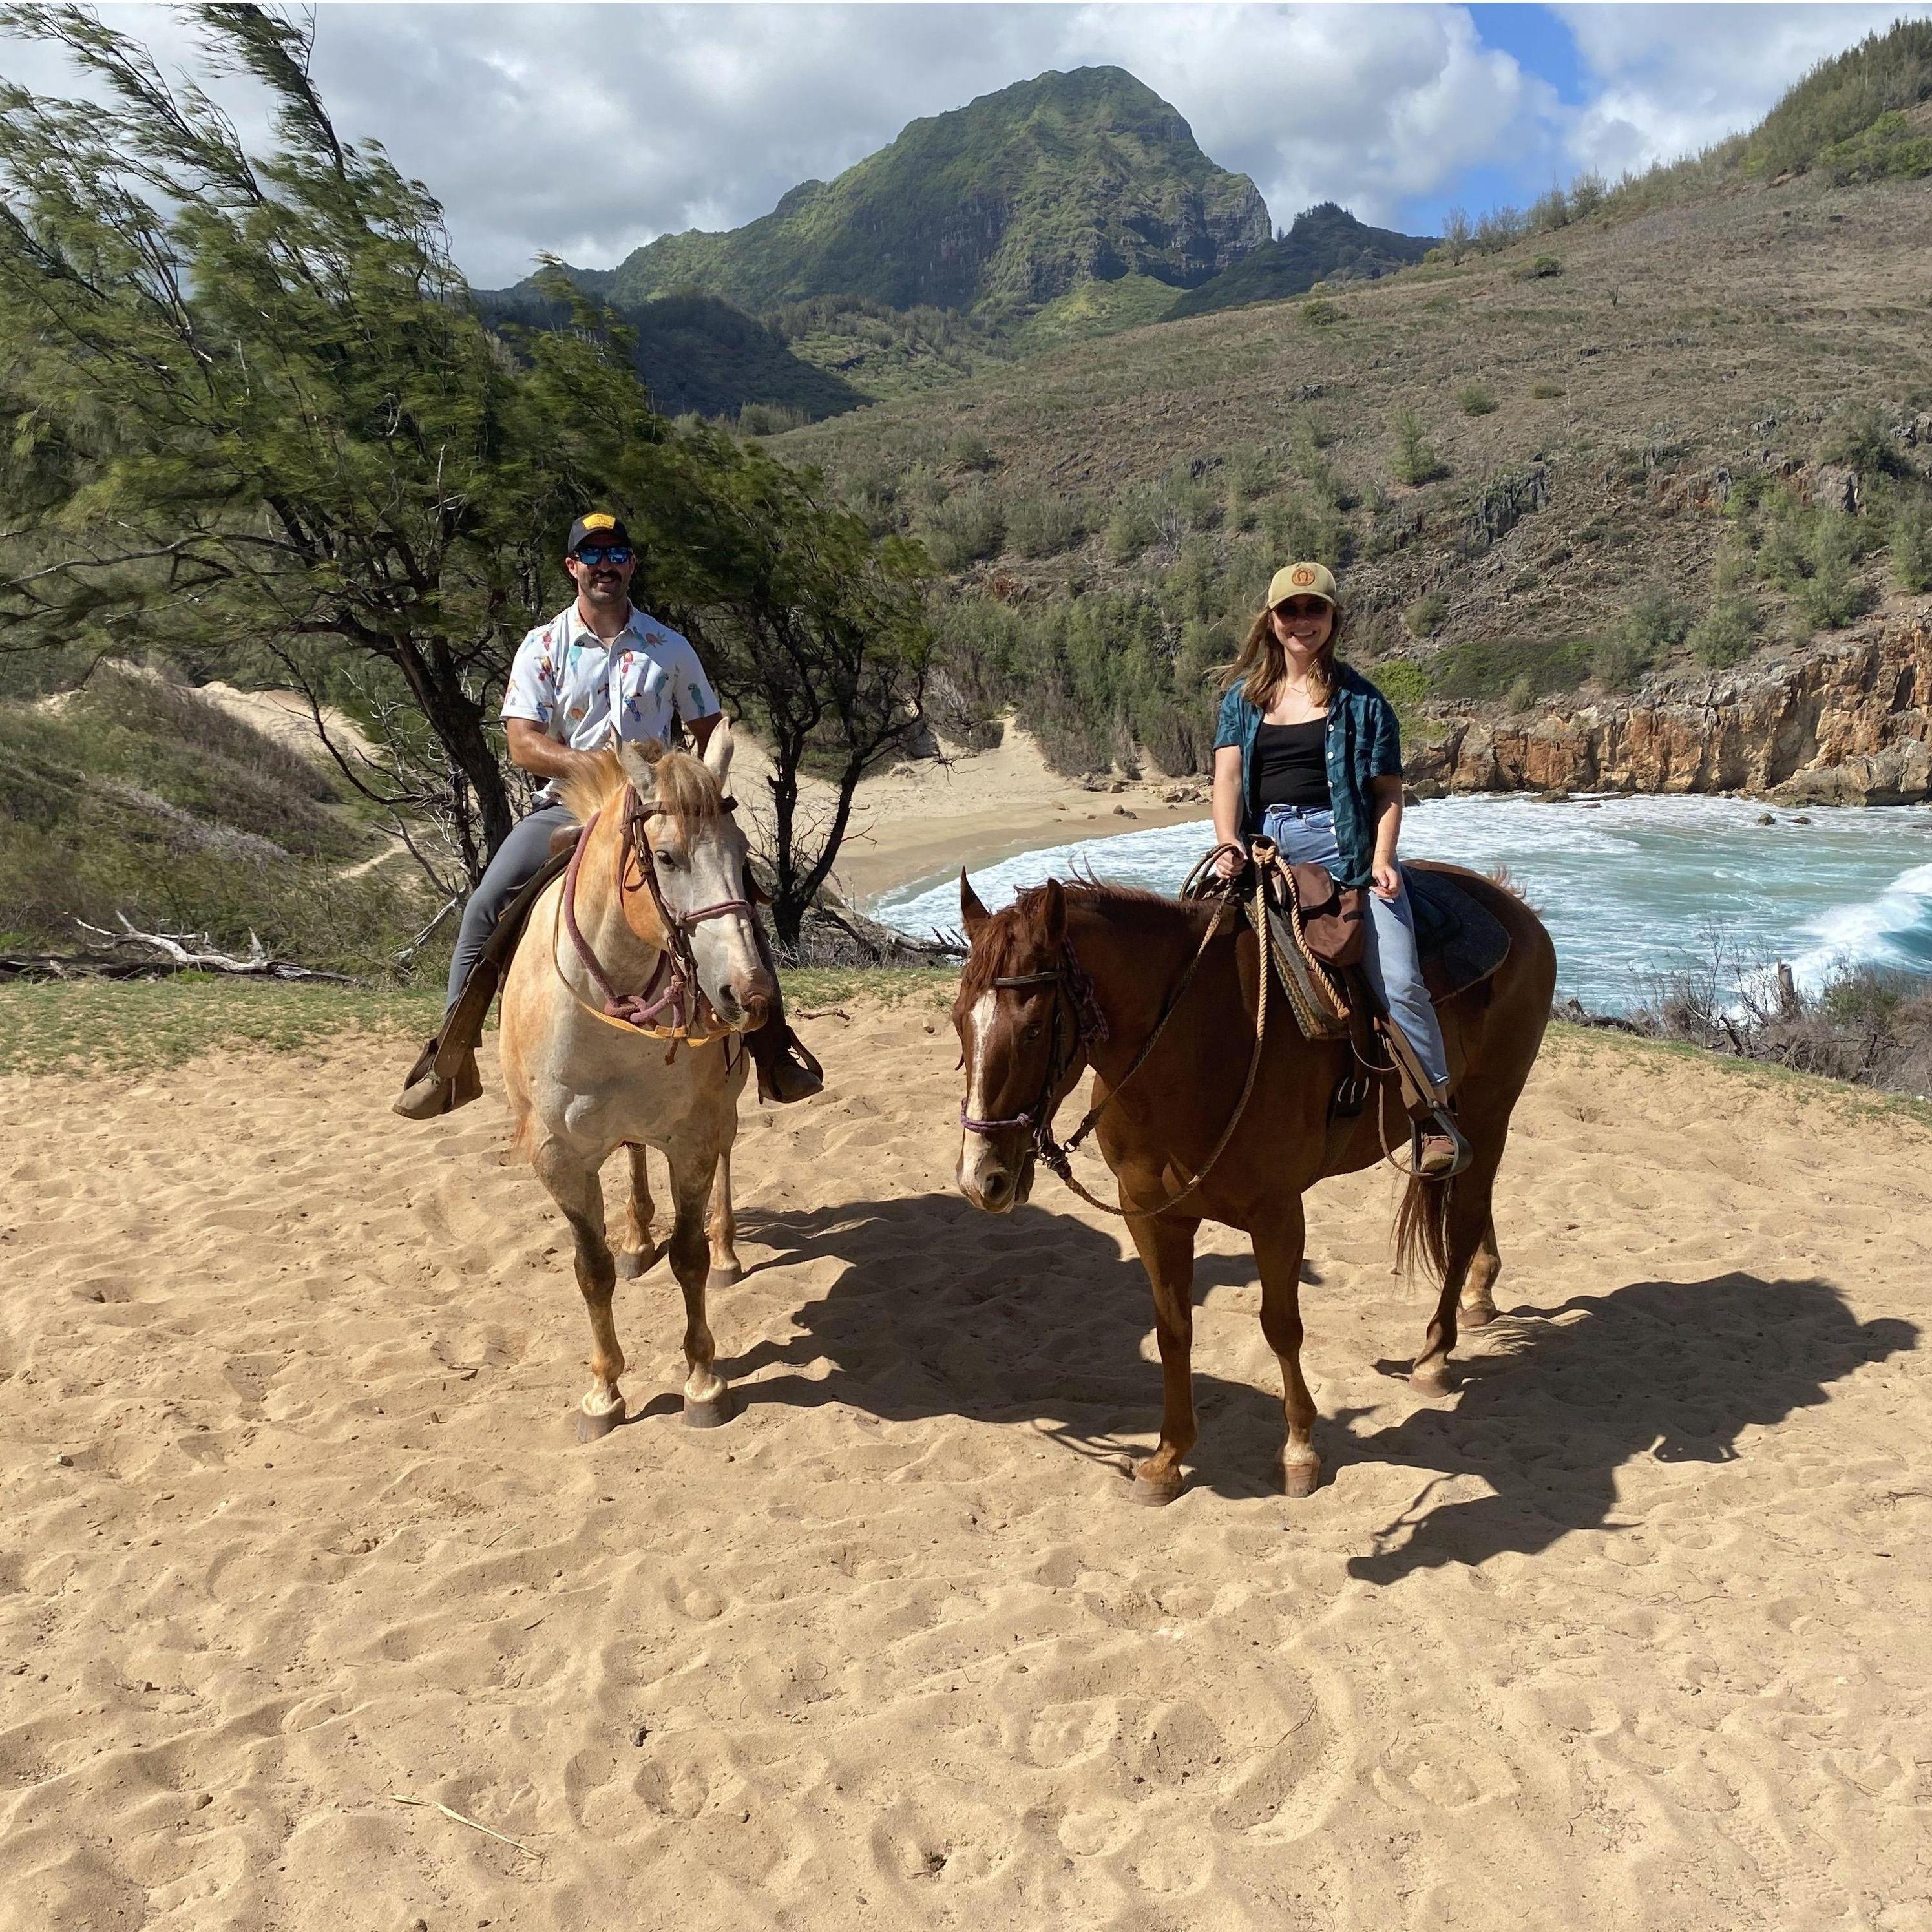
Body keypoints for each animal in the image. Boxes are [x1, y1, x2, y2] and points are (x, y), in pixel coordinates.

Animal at [498, 726, 769, 1437]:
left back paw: (725, 1250)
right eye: (666, 858)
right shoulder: (558, 1157)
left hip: (725, 1107)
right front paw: (603, 1391)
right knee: (631, 1154)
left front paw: (702, 1381)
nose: (748, 994)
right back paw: (636, 1236)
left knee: (723, 1160)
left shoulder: (692, 1138)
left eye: (742, 854)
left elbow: (689, 1255)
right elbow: (590, 1270)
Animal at [958, 869, 1560, 1499]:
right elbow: (1173, 1329)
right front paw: (1167, 1458)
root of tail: (1510, 905)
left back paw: (1435, 1356)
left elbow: (1281, 1326)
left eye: (1031, 1031)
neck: (1193, 1044)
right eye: (957, 1021)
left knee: (1464, 1224)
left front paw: (1299, 1451)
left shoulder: (1278, 1215)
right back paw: (1479, 1296)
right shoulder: (1151, 1214)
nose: (982, 1179)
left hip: (1491, 1109)